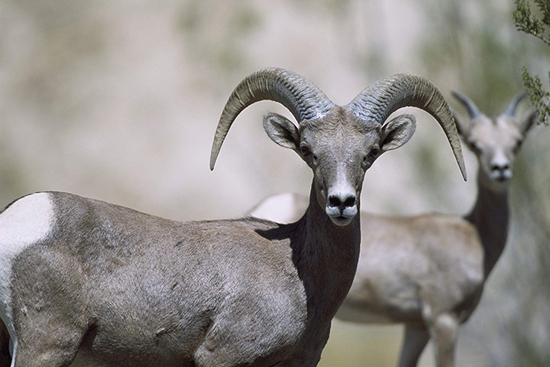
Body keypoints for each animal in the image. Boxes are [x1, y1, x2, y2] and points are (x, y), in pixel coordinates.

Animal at [0, 67, 466, 366]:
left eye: (369, 154)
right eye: (308, 151)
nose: (341, 202)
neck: (300, 275)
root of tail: (18, 223)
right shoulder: (221, 356)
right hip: (46, 347)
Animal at [249, 90, 536, 366]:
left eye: (517, 142)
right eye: (475, 144)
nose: (500, 170)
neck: (473, 233)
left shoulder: (415, 327)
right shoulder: (443, 320)